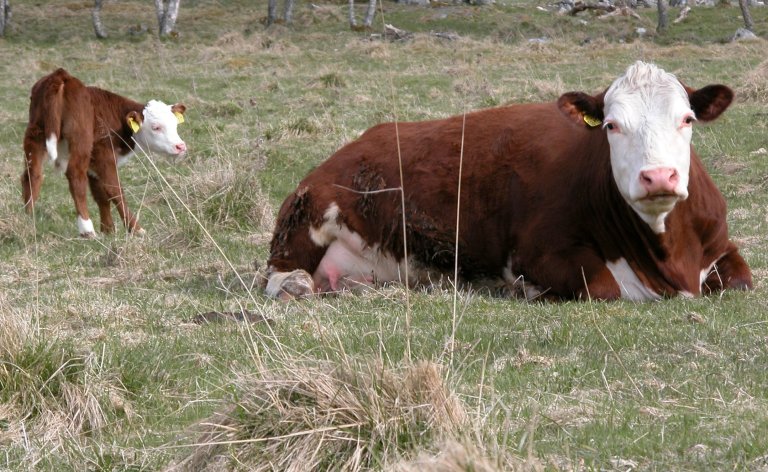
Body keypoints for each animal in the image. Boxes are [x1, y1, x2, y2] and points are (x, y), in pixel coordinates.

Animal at [20, 68, 188, 238]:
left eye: (175, 124)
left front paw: (108, 229)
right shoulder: (104, 155)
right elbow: (114, 190)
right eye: (156, 127)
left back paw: (28, 219)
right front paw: (135, 229)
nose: (180, 146)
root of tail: (62, 76)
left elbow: (100, 195)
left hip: (35, 134)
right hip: (80, 139)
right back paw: (87, 229)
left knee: (32, 174)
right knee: (75, 176)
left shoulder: (93, 164)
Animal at [262, 60, 752, 300]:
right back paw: (295, 285)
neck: (669, 258)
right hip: (305, 218)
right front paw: (528, 291)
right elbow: (604, 288)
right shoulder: (537, 251)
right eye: (612, 125)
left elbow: (743, 280)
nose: (658, 176)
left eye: (687, 119)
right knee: (277, 275)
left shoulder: (720, 245)